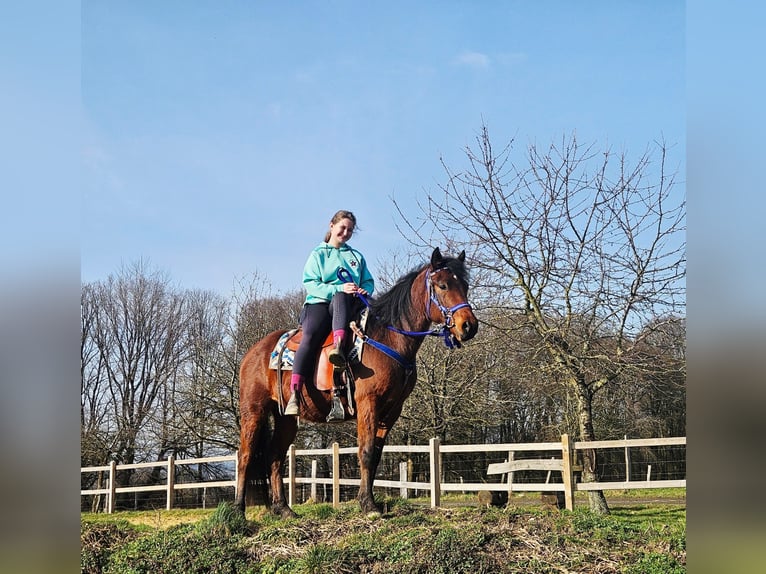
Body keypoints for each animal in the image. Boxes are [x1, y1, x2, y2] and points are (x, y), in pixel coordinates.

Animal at [234, 247, 478, 517]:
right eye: (443, 285)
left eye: (465, 285)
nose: (469, 326)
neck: (388, 338)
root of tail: (252, 353)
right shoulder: (368, 403)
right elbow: (367, 451)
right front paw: (368, 504)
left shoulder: (392, 410)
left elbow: (377, 455)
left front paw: (367, 500)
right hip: (253, 411)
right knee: (245, 456)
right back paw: (238, 510)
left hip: (285, 417)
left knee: (274, 456)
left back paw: (283, 509)